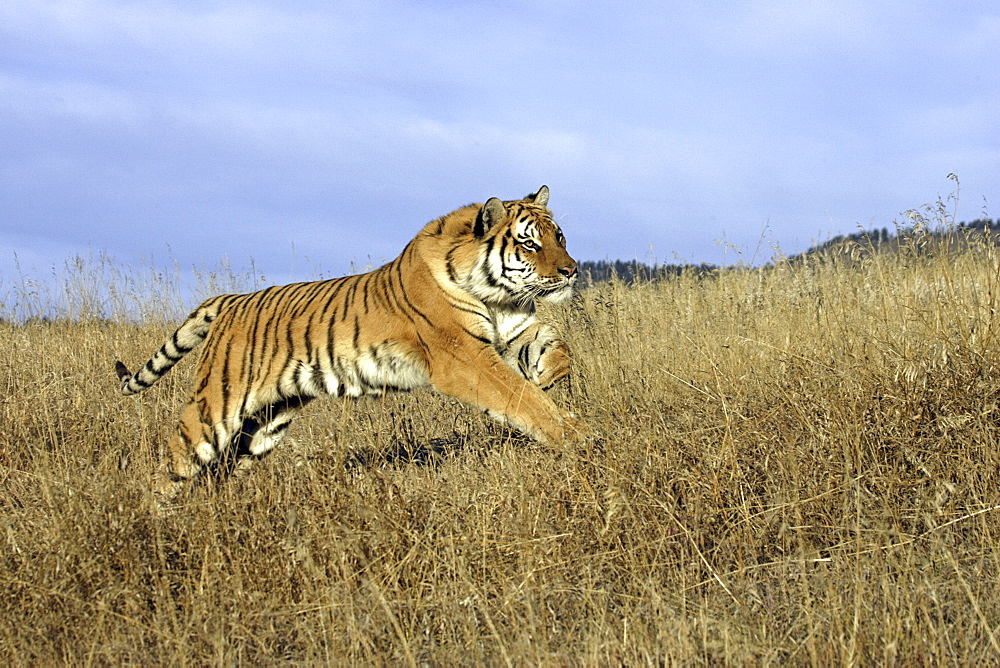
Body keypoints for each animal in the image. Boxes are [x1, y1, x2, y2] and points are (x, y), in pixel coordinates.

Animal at [116, 185, 584, 504]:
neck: (497, 295)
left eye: (559, 236)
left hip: (265, 423)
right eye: (529, 243)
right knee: (173, 467)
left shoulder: (514, 330)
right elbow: (520, 398)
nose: (571, 270)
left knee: (221, 472)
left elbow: (556, 346)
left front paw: (549, 374)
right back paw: (154, 519)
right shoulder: (463, 356)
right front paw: (575, 436)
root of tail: (232, 300)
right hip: (216, 409)